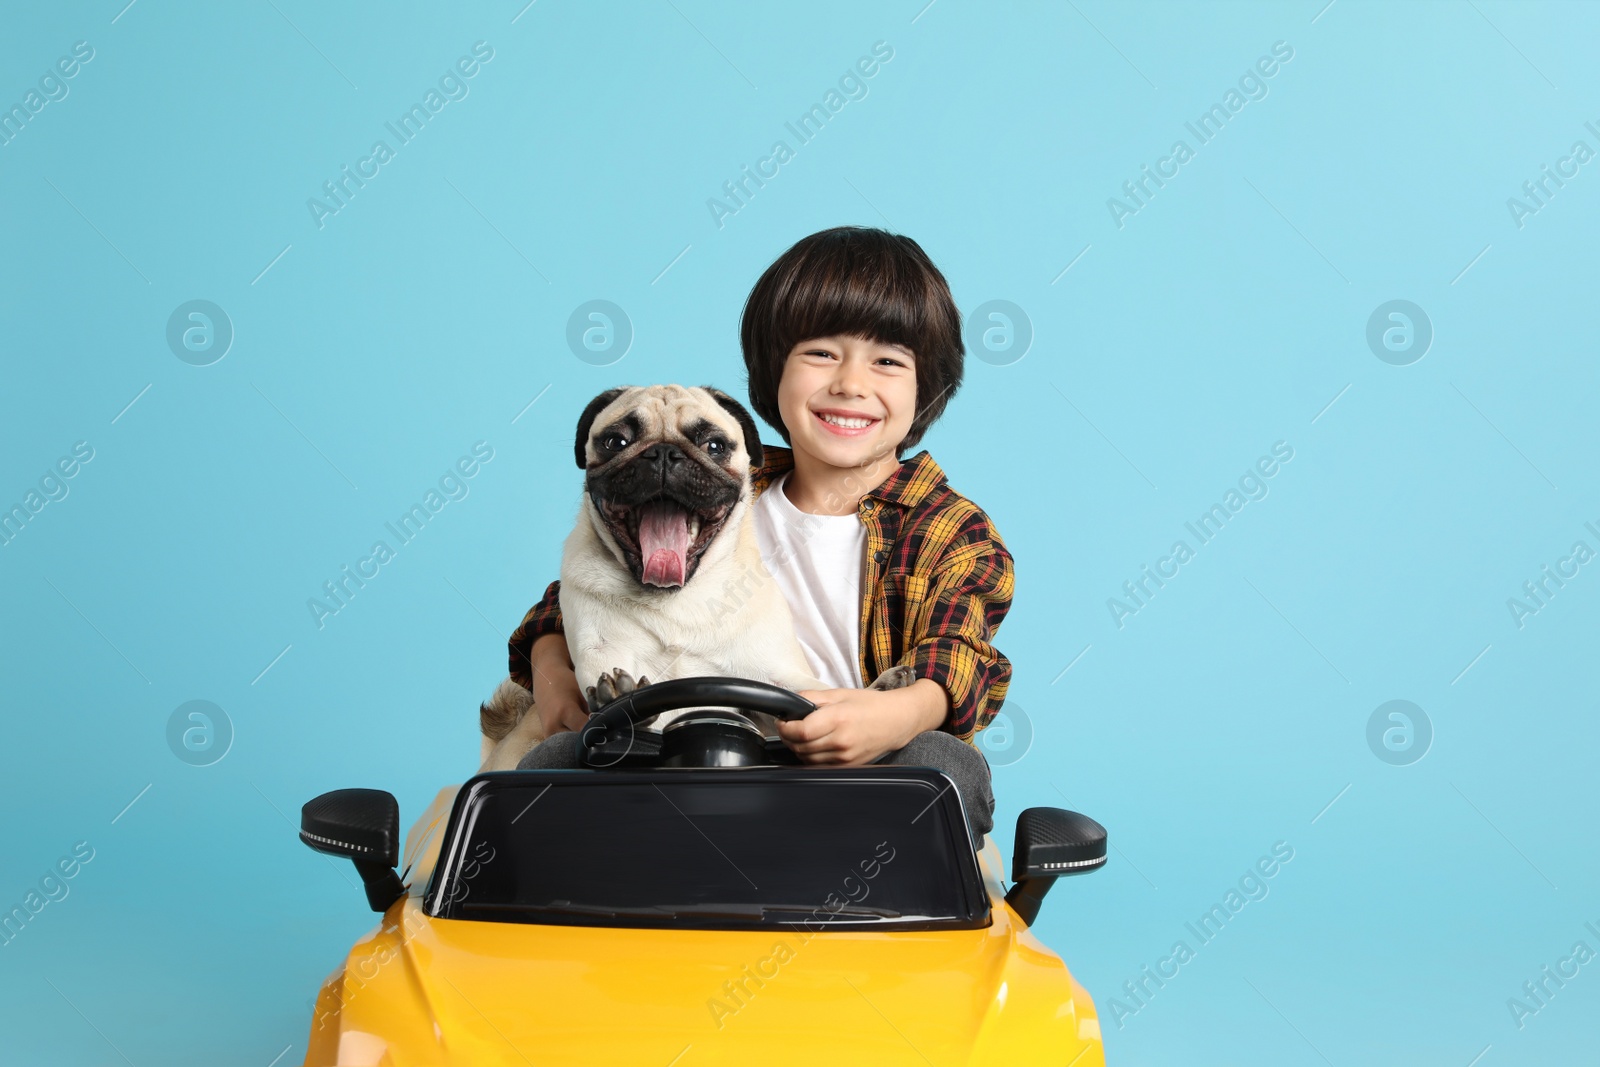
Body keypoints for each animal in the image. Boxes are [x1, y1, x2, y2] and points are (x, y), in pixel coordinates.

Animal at [476, 388, 915, 771]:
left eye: (715, 446)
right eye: (616, 441)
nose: (663, 453)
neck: (677, 595)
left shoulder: (773, 676)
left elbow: (818, 696)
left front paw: (878, 696)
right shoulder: (600, 652)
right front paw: (617, 696)